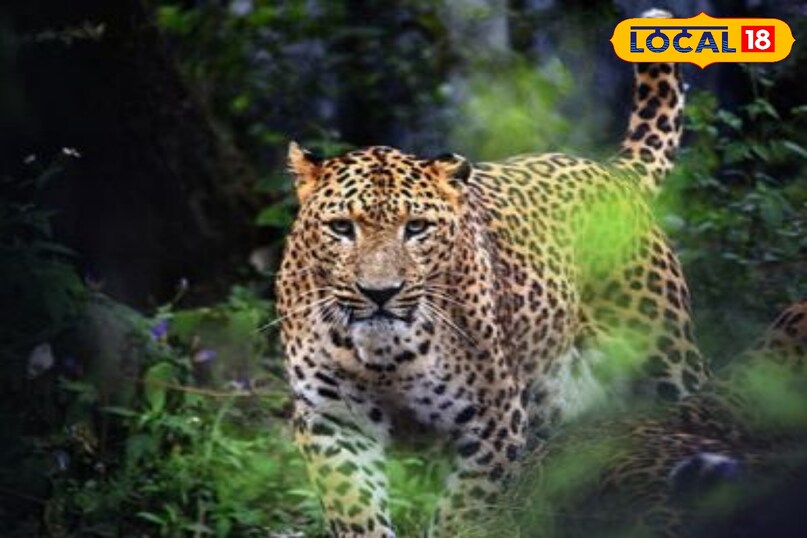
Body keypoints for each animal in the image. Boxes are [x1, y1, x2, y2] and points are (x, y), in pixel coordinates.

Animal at [275, 9, 706, 536]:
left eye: (415, 227)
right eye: (341, 227)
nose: (380, 292)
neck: (386, 358)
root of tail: (611, 172)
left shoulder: (493, 422)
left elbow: (463, 513)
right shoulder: (332, 420)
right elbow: (356, 509)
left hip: (664, 354)